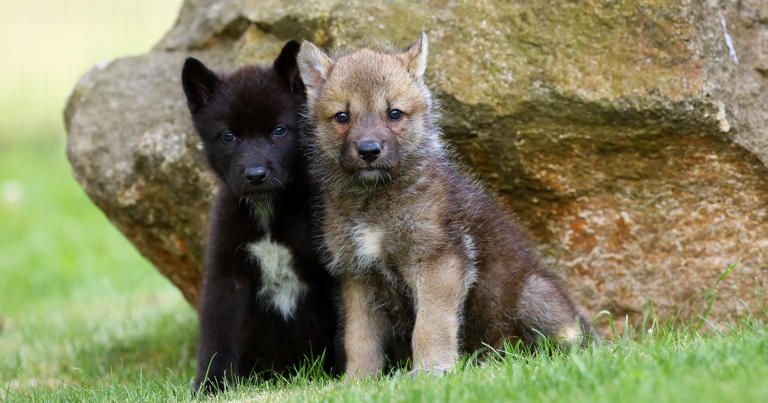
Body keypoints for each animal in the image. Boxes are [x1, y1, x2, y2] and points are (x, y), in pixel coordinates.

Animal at [181, 40, 339, 393]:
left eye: (279, 131)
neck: (268, 214)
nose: (255, 175)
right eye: (229, 136)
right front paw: (211, 385)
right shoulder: (227, 276)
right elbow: (217, 336)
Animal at [297, 33, 593, 380]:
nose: (368, 151)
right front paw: (358, 380)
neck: (374, 201)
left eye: (394, 113)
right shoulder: (358, 276)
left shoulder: (438, 261)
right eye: (342, 117)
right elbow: (359, 339)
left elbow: (430, 325)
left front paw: (432, 371)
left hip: (535, 294)